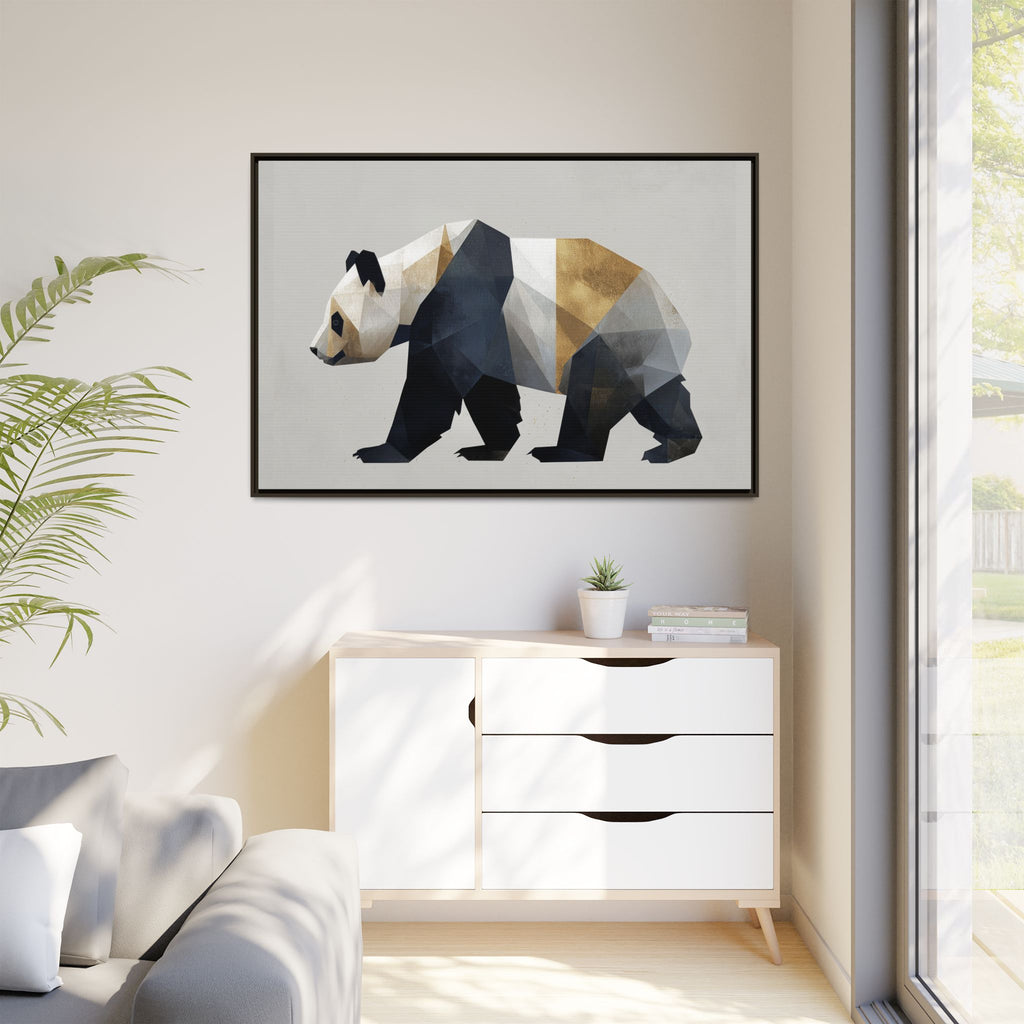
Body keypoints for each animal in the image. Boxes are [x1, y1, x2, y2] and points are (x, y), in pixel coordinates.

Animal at [309, 218, 701, 464]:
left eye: (337, 320)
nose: (314, 350)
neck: (422, 269)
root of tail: (676, 320)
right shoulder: (490, 330)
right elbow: (487, 388)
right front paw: (491, 447)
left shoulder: (462, 301)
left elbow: (435, 384)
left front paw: (381, 451)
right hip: (644, 350)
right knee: (660, 394)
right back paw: (673, 444)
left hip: (611, 335)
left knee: (592, 394)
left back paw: (563, 453)